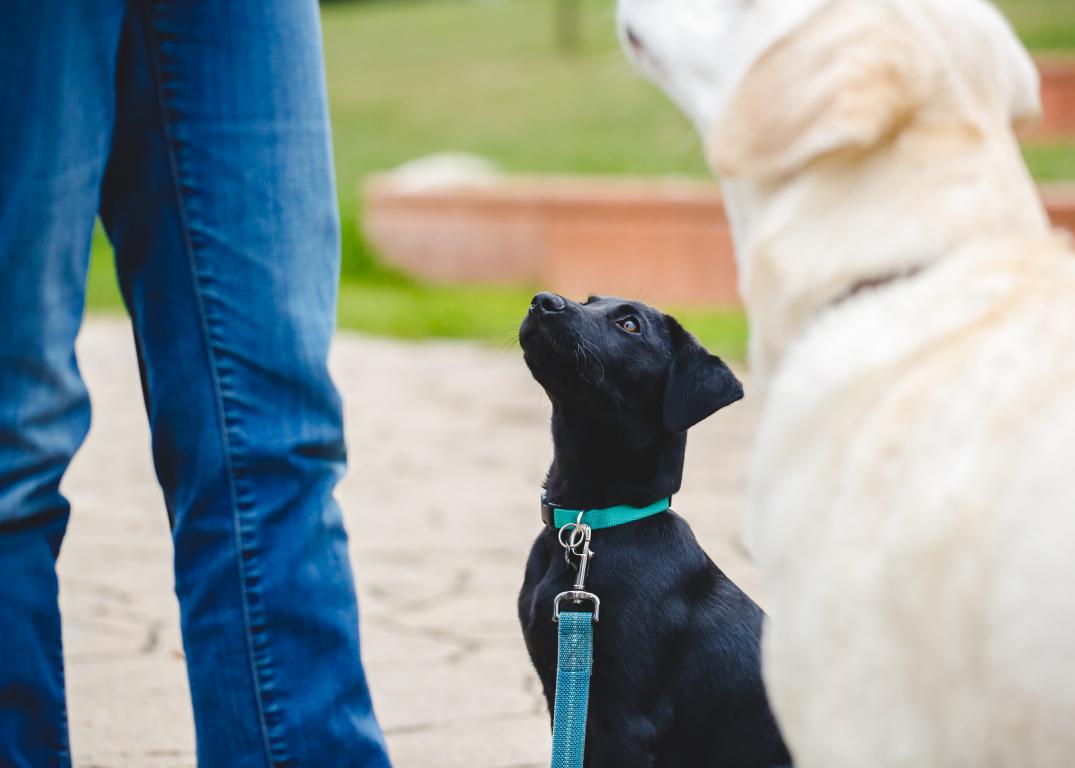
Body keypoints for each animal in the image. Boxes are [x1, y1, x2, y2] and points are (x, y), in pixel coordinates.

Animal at [516, 290, 795, 761]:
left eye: (630, 325)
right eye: (589, 300)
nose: (543, 301)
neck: (590, 524)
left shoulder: (629, 722)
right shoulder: (561, 695)